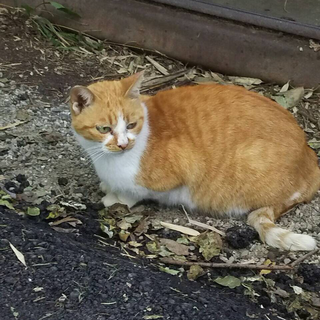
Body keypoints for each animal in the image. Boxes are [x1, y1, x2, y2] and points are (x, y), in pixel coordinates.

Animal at [70, 72, 320, 252]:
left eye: (131, 125)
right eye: (104, 129)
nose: (123, 144)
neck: (107, 159)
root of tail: (310, 157)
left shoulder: (177, 174)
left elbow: (133, 193)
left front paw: (115, 197)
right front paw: (108, 186)